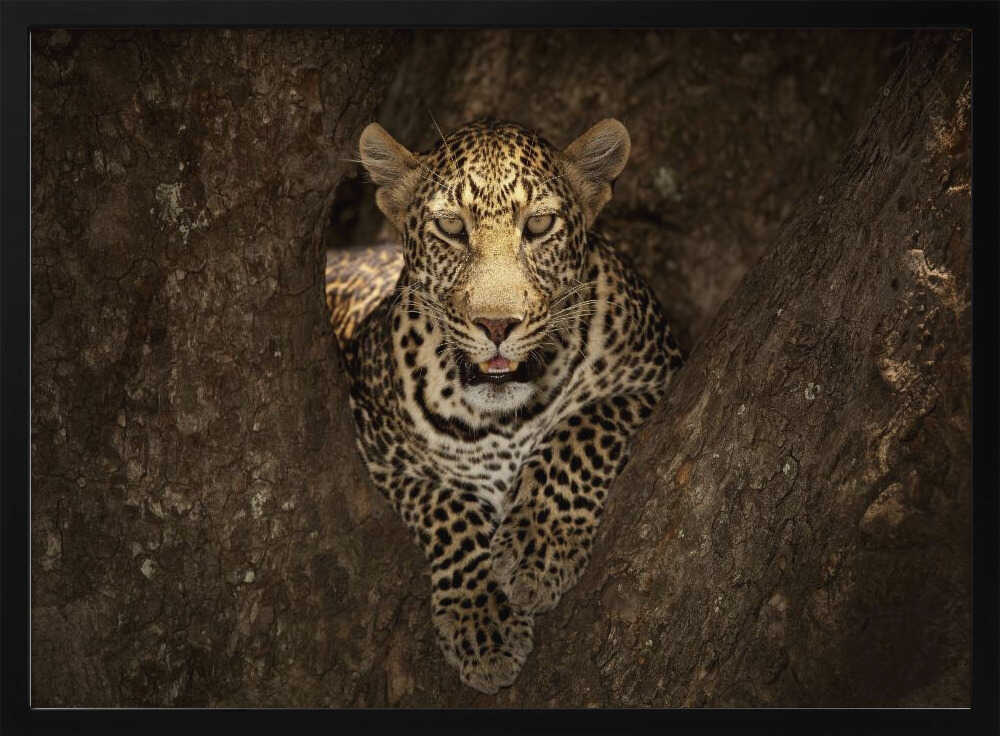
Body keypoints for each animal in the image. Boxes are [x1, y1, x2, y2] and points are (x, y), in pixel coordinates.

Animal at [325, 117, 683, 694]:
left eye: (538, 224)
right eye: (451, 227)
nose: (497, 325)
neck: (501, 420)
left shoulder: (657, 377)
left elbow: (580, 429)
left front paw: (538, 547)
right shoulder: (377, 449)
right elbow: (446, 506)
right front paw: (483, 622)